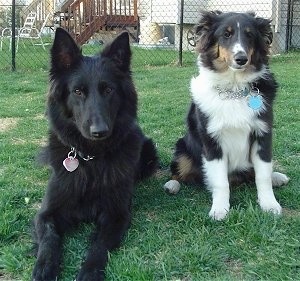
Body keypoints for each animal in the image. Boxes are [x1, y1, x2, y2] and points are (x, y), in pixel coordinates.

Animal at [32, 28, 158, 280]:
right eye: (78, 91)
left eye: (108, 90)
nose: (99, 131)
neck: (90, 158)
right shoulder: (46, 213)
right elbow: (49, 238)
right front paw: (45, 267)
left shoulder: (116, 215)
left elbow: (99, 246)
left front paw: (89, 271)